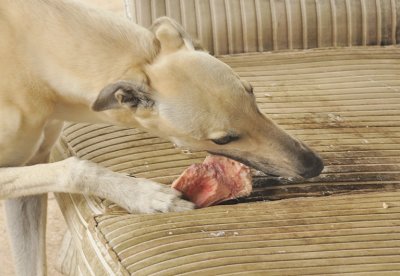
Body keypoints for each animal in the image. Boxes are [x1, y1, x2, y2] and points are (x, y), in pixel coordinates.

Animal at [0, 0, 324, 274]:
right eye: (222, 139)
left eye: (252, 94)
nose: (314, 165)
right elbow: (74, 167)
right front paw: (149, 197)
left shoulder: (31, 171)